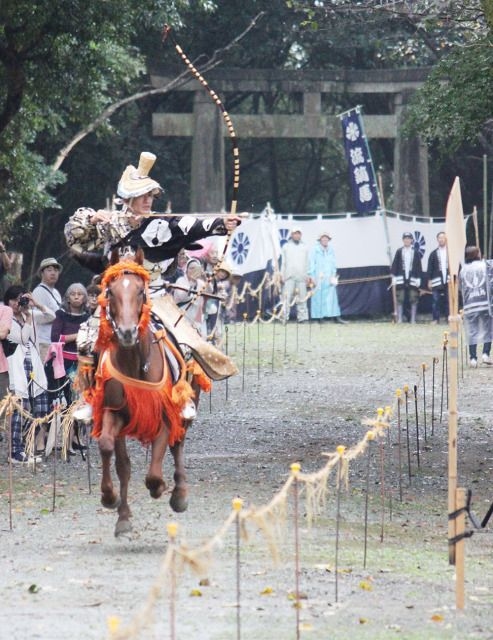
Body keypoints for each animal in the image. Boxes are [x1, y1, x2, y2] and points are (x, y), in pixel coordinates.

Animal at [89, 252, 203, 536]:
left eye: (140, 291)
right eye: (110, 291)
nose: (127, 332)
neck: (134, 362)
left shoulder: (164, 415)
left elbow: (154, 470)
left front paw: (159, 487)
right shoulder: (114, 411)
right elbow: (114, 455)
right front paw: (114, 505)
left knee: (178, 442)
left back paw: (179, 494)